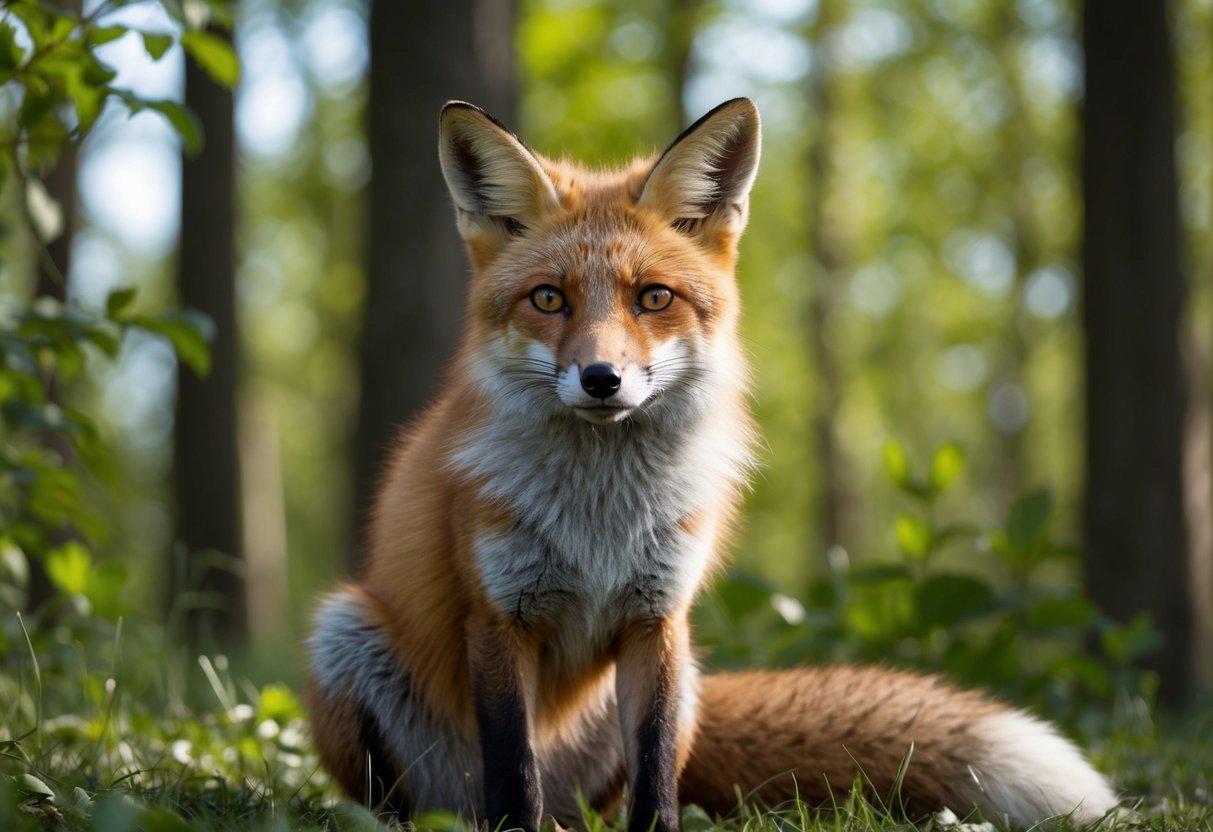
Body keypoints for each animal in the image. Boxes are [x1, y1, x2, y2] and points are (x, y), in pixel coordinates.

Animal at [305, 98, 1117, 831]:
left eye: (653, 297)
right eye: (549, 298)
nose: (602, 379)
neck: (599, 520)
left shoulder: (659, 618)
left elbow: (657, 777)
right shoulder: (499, 619)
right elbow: (514, 778)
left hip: (683, 683)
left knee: (596, 804)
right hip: (343, 636)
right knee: (420, 804)